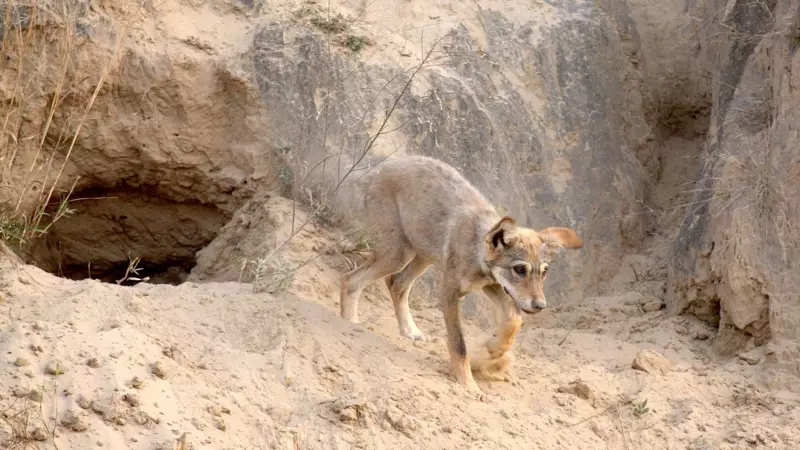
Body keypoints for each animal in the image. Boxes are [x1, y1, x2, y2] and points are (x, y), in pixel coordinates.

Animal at [338, 155, 583, 394]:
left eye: (544, 272)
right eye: (520, 269)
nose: (540, 305)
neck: (476, 248)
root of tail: (381, 167)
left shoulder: (491, 285)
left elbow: (514, 320)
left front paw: (493, 349)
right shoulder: (450, 293)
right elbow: (459, 345)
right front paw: (468, 384)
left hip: (421, 257)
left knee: (396, 285)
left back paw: (410, 331)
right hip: (397, 255)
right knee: (351, 279)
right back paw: (350, 324)